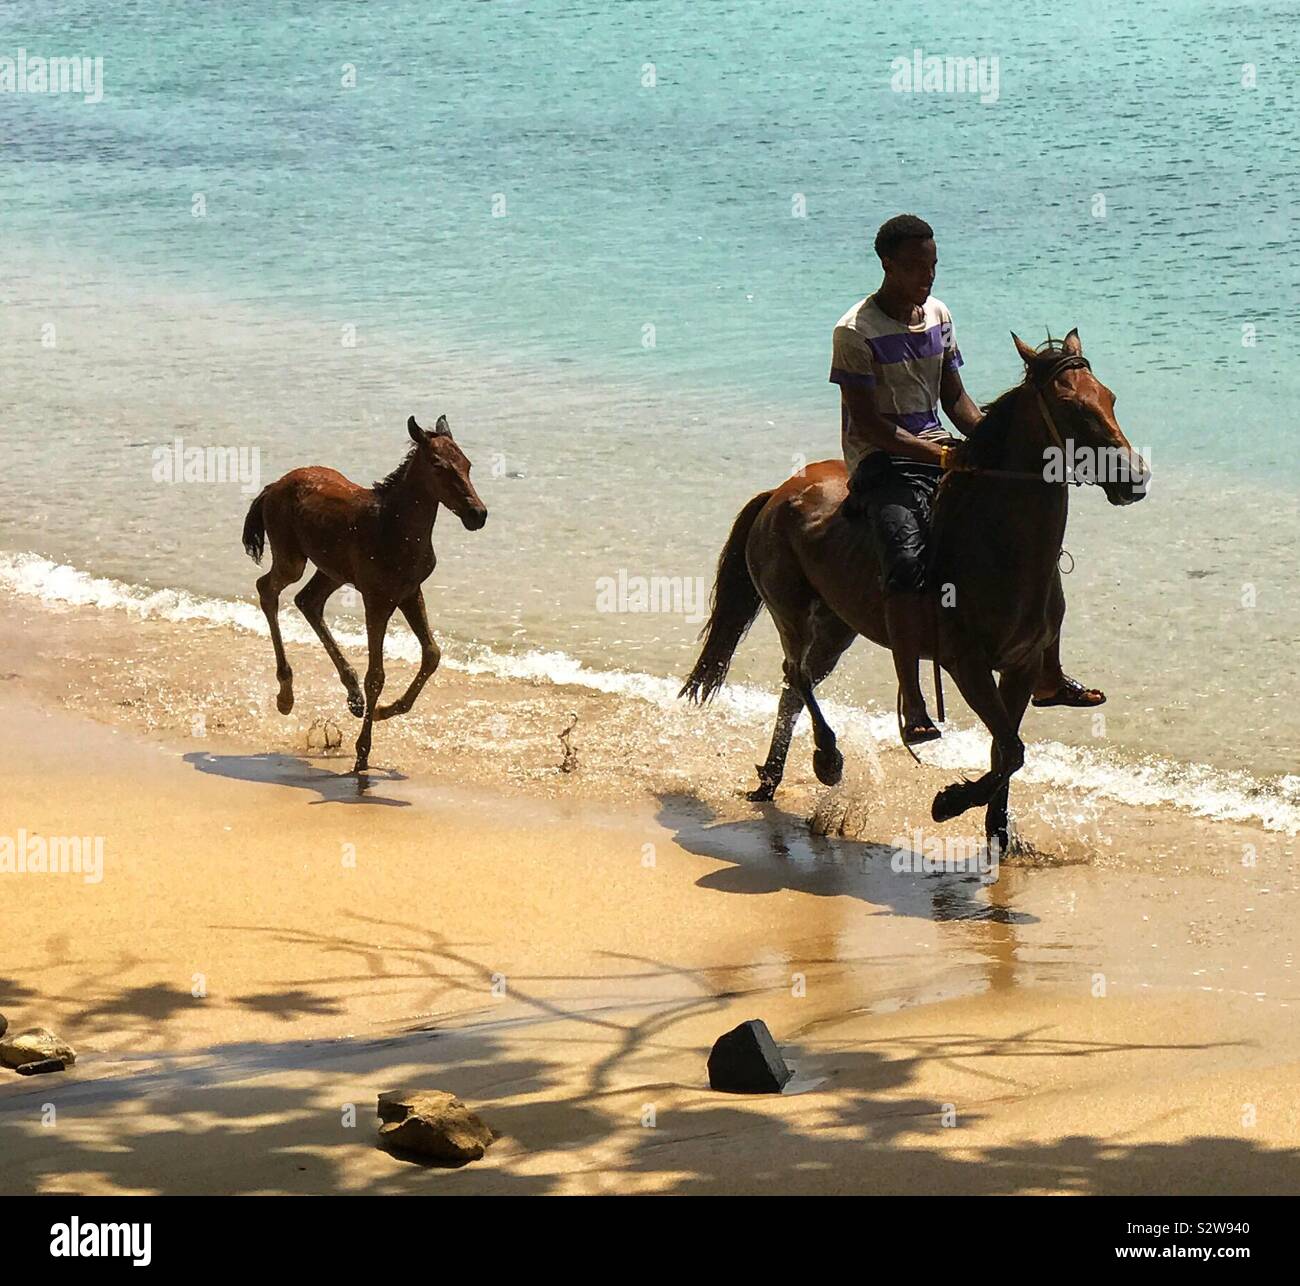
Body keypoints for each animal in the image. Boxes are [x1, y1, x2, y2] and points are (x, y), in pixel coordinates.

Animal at [241, 414, 487, 773]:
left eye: (467, 465)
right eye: (439, 466)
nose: (477, 514)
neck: (397, 529)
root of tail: (273, 486)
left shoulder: (409, 592)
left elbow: (432, 653)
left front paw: (385, 711)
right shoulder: (377, 599)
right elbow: (377, 675)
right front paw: (362, 752)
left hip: (332, 570)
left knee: (308, 601)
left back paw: (352, 697)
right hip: (293, 560)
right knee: (268, 590)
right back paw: (286, 694)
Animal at [679, 330, 1149, 852]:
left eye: (1108, 398)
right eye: (1071, 407)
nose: (1134, 478)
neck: (997, 547)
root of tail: (778, 493)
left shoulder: (1023, 667)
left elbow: (1004, 750)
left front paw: (999, 834)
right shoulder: (967, 666)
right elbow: (1011, 751)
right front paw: (949, 803)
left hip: (837, 628)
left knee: (795, 689)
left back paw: (771, 779)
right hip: (790, 611)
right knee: (795, 675)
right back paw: (828, 759)